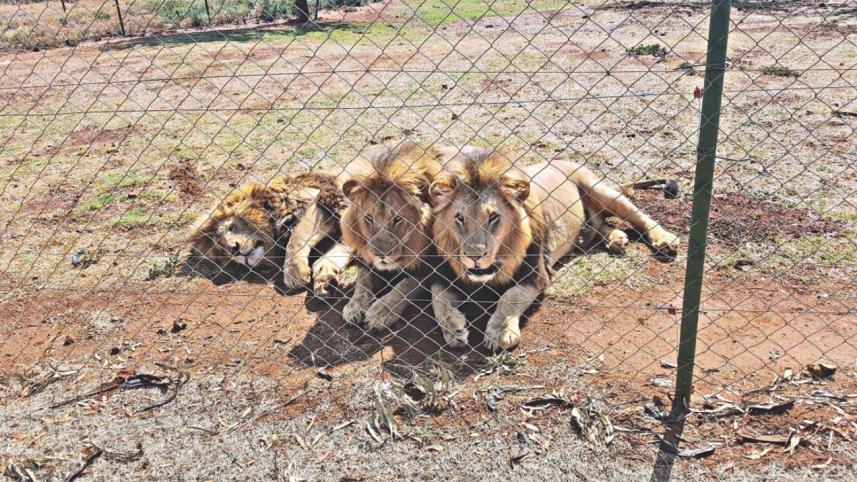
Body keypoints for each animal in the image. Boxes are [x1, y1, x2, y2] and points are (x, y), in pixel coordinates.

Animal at [188, 172, 351, 294]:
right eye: (221, 249)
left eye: (231, 228)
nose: (234, 249)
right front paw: (326, 276)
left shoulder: (318, 197)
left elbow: (296, 237)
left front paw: (294, 272)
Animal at [338, 142, 460, 330]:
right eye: (369, 218)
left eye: (397, 219)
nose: (380, 256)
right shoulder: (365, 254)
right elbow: (363, 278)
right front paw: (354, 306)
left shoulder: (430, 264)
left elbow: (406, 285)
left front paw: (381, 311)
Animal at [429, 148, 680, 352]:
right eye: (459, 218)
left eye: (493, 217)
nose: (474, 257)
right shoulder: (444, 274)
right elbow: (437, 298)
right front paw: (454, 328)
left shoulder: (537, 275)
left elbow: (510, 297)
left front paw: (500, 331)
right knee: (598, 223)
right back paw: (616, 239)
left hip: (599, 189)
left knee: (638, 216)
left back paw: (665, 240)